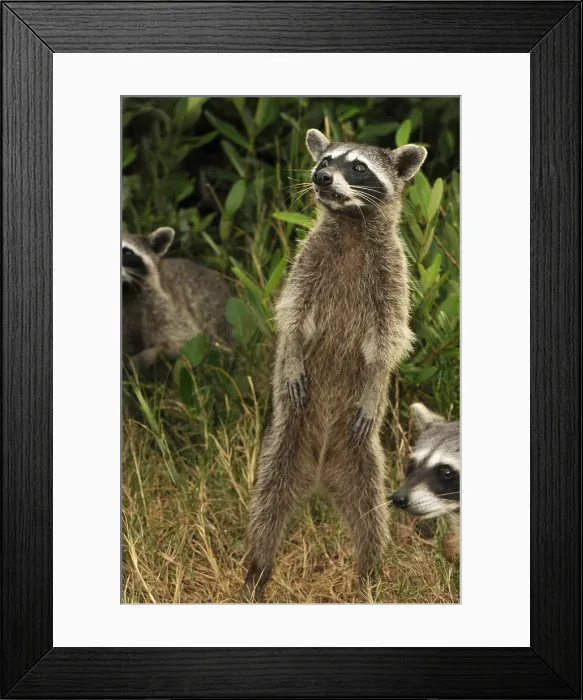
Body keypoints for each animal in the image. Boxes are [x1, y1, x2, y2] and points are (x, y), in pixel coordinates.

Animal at [243, 129, 427, 601]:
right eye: (326, 160)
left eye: (358, 166)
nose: (320, 177)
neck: (351, 223)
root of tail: (322, 471)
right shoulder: (307, 261)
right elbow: (292, 315)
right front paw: (291, 352)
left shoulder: (393, 274)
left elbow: (388, 340)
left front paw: (376, 381)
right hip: (283, 443)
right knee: (267, 505)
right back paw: (257, 569)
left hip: (365, 457)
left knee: (371, 516)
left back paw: (370, 573)